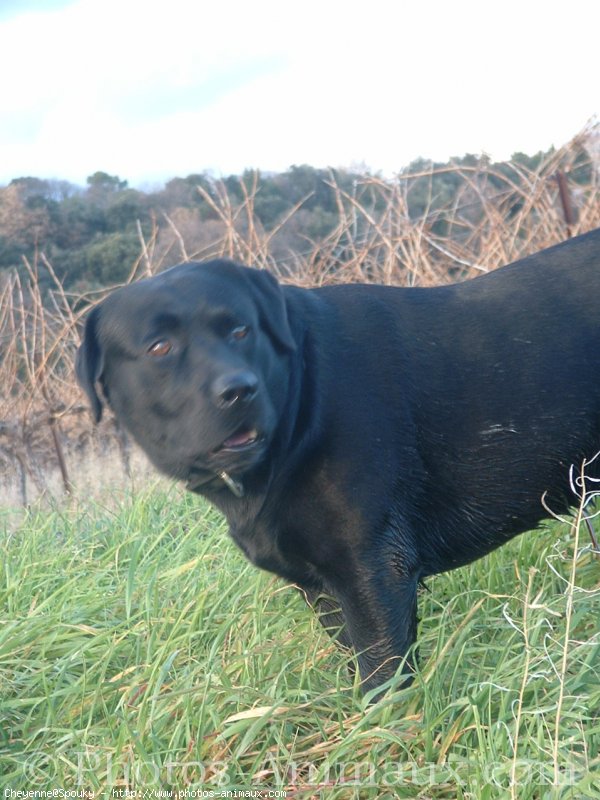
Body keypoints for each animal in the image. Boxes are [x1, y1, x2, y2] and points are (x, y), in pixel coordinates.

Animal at [77, 230, 600, 692]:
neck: (300, 407)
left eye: (241, 329)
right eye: (159, 347)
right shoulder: (322, 587)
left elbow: (381, 682)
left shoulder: (374, 569)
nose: (239, 390)